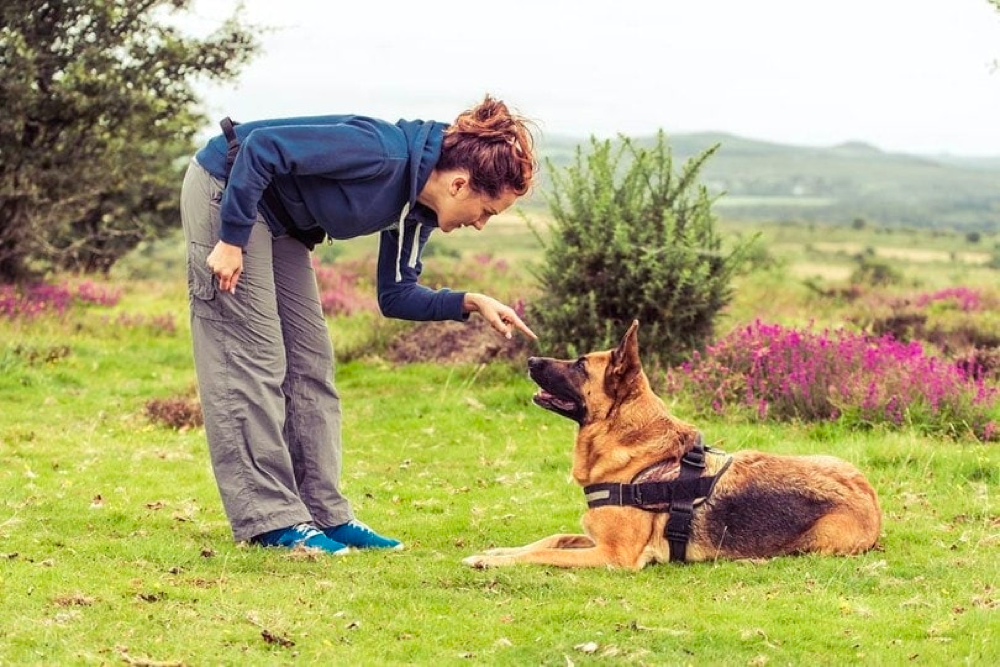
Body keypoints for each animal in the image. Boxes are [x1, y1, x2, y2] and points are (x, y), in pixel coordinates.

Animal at [464, 320, 880, 568]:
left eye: (581, 365)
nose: (531, 359)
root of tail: (872, 502)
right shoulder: (592, 539)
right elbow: (552, 539)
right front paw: (496, 552)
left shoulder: (614, 555)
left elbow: (546, 552)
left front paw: (494, 561)